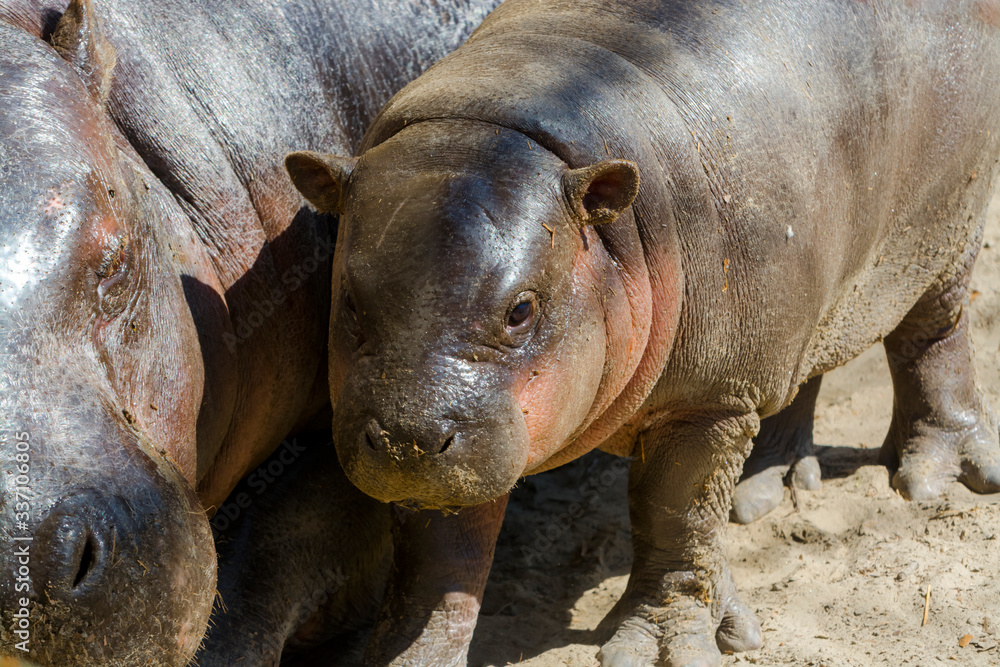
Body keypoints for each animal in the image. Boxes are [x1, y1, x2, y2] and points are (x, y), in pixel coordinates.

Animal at [286, 0, 1000, 664]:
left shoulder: (707, 400)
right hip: (798, 305)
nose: (406, 437)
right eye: (346, 299)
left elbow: (675, 514)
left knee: (933, 335)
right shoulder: (457, 456)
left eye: (521, 310)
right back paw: (764, 491)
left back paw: (934, 480)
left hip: (946, 227)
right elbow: (439, 558)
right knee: (803, 371)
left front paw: (668, 646)